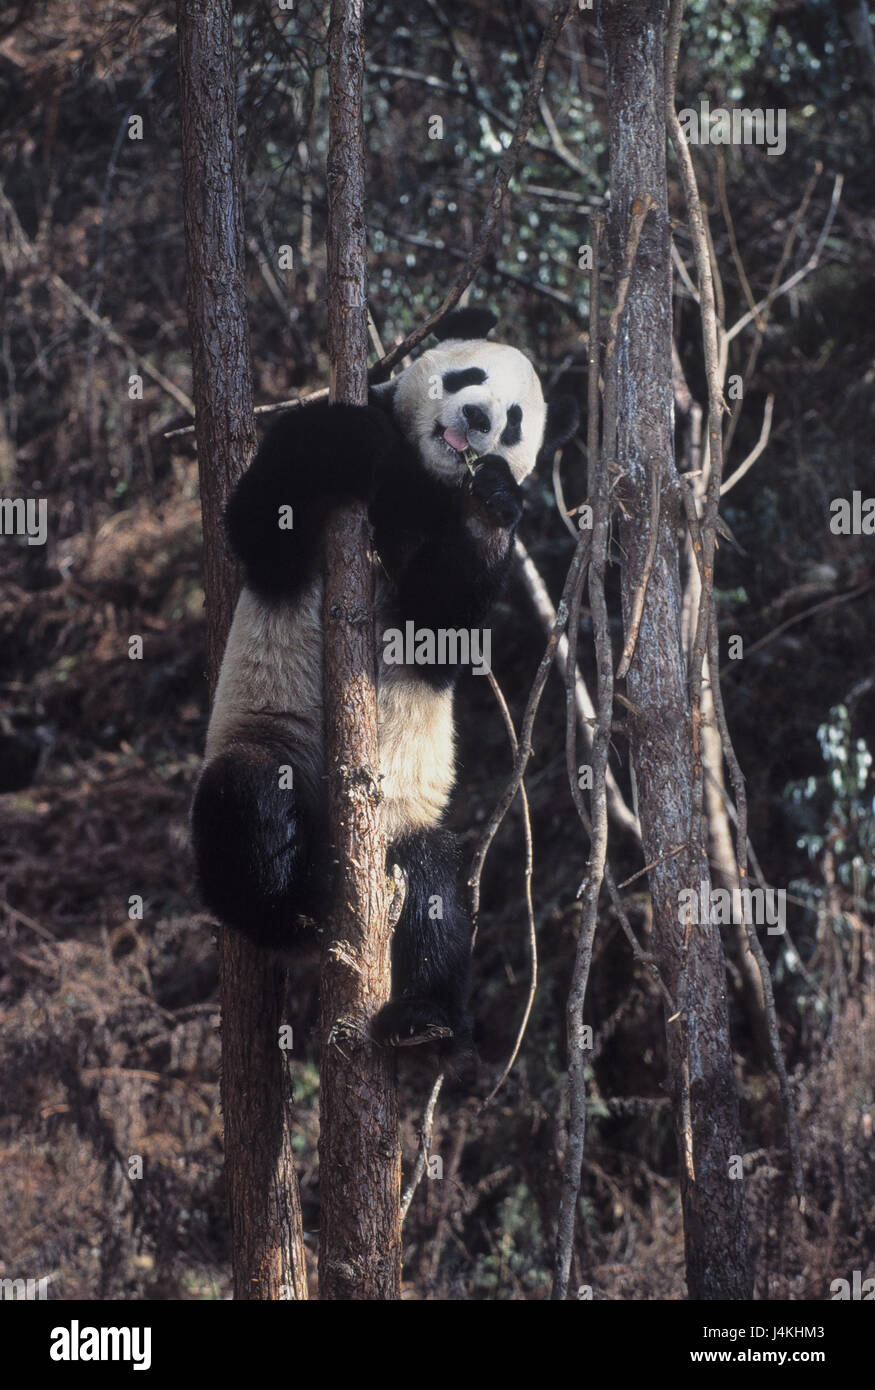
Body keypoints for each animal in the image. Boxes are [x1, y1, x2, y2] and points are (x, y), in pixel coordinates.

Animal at [191, 307, 578, 1053]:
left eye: (515, 420)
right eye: (465, 376)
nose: (478, 417)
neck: (426, 478)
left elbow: (440, 626)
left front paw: (490, 497)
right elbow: (259, 521)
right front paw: (352, 442)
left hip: (400, 828)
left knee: (435, 878)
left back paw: (422, 1020)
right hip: (276, 741)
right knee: (250, 794)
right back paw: (293, 911)